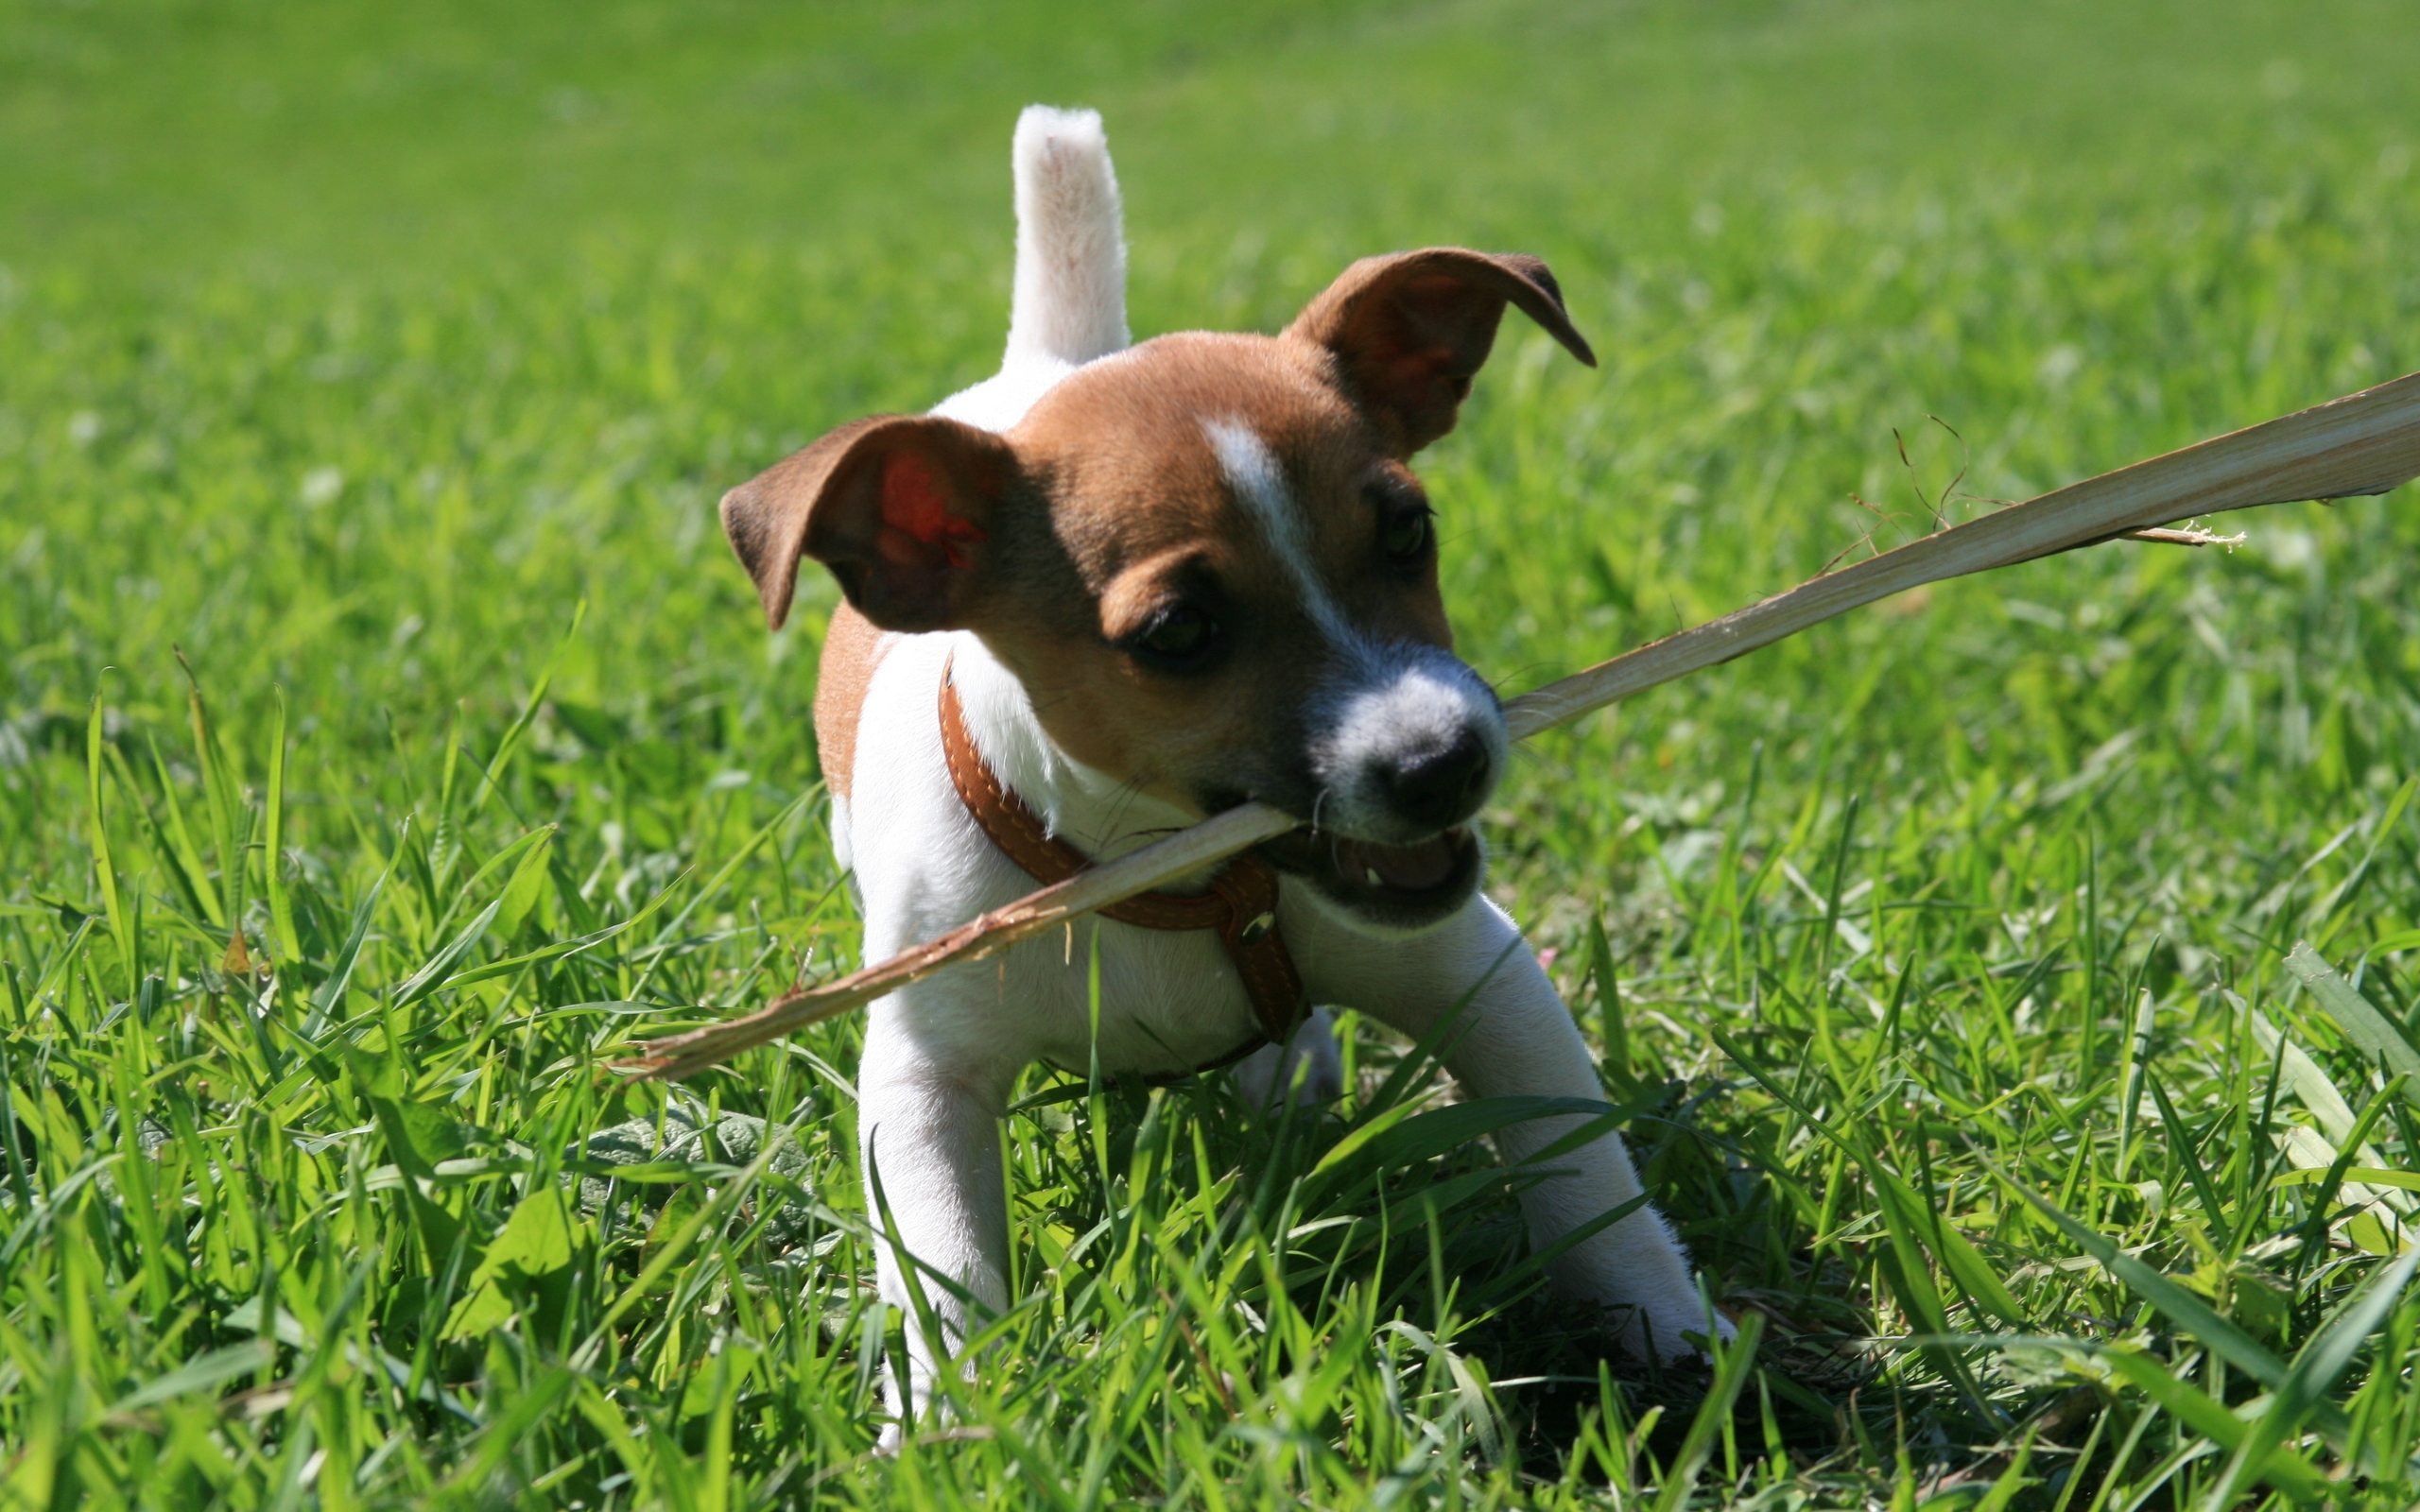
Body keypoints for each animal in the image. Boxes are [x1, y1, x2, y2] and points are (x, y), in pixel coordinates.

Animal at [711, 103, 1722, 1422]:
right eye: (1180, 633)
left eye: (1409, 532)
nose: (1443, 762)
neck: (1154, 874)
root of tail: (1050, 365)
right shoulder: (926, 1080)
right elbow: (942, 1264)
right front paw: (955, 1419)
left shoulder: (1481, 978)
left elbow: (1582, 1171)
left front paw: (1667, 1328)